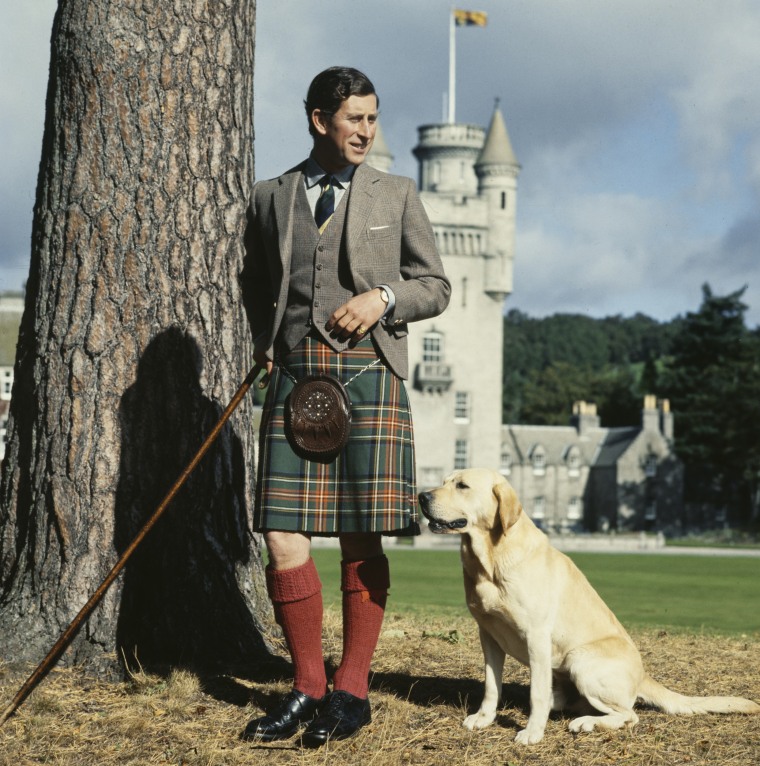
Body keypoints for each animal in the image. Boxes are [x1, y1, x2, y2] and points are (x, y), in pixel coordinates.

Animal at [418, 468, 756, 744]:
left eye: (462, 485)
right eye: (444, 481)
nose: (421, 496)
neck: (490, 559)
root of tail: (642, 675)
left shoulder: (536, 636)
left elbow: (536, 693)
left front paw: (532, 733)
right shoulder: (488, 635)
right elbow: (492, 685)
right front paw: (485, 719)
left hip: (581, 661)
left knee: (628, 714)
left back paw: (587, 723)